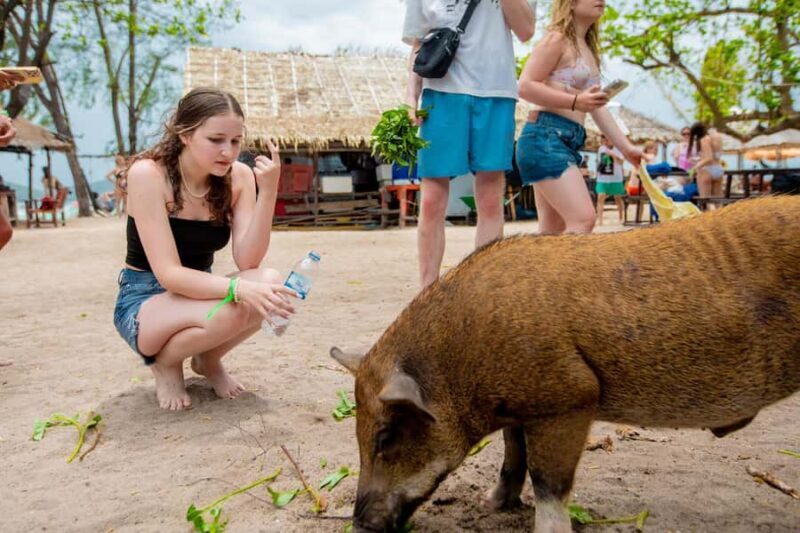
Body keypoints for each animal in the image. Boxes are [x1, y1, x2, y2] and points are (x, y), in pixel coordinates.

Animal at [330, 196, 800, 533]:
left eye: (386, 435)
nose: (360, 523)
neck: (463, 357)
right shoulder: (520, 409)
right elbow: (513, 456)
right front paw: (491, 504)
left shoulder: (570, 399)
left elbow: (548, 481)